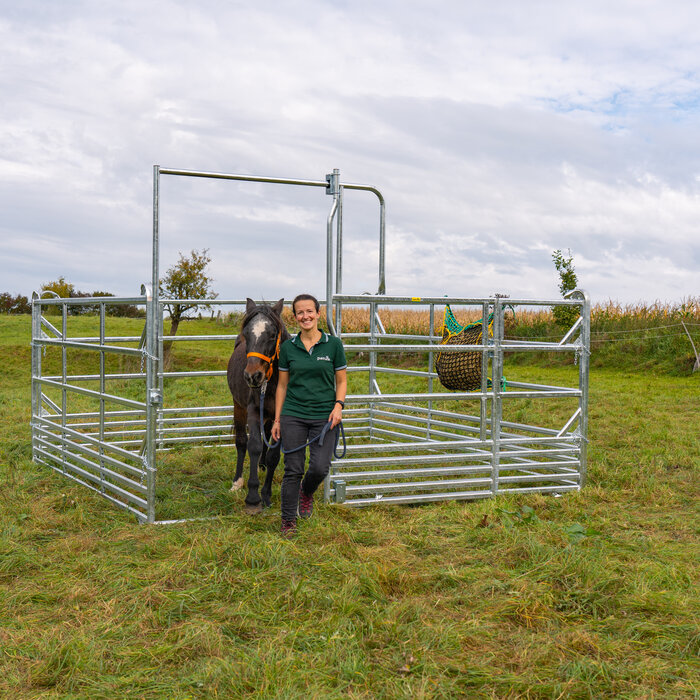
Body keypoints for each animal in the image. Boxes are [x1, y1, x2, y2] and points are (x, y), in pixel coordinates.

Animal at [227, 298, 290, 514]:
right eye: (247, 334)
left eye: (272, 335)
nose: (253, 376)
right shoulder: (253, 411)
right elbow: (252, 446)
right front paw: (253, 498)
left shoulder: (281, 417)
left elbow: (273, 455)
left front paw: (267, 495)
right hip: (238, 407)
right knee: (241, 442)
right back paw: (237, 481)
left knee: (267, 436)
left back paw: (261, 466)